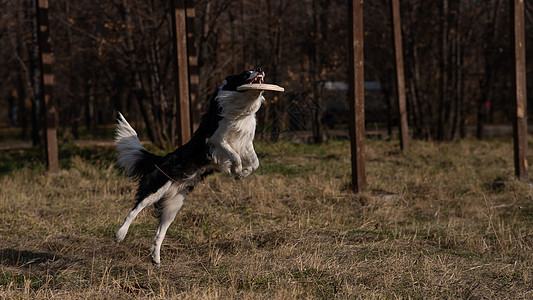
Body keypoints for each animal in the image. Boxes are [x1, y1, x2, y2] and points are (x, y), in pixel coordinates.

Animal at [115, 67, 266, 264]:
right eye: (246, 73)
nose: (260, 69)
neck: (242, 106)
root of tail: (161, 159)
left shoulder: (245, 142)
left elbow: (255, 162)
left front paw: (242, 174)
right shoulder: (215, 139)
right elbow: (234, 156)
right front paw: (237, 169)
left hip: (174, 203)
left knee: (160, 231)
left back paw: (156, 258)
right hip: (157, 187)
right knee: (134, 210)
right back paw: (120, 234)